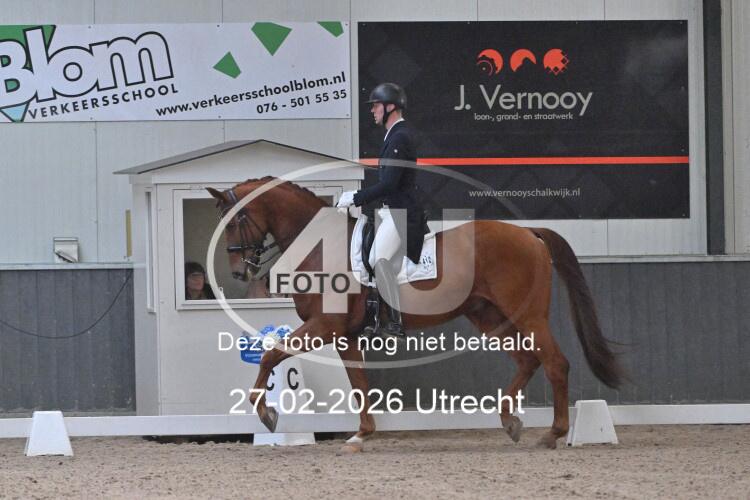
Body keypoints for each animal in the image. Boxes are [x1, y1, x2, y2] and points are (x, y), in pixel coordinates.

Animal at [207, 176, 624, 453]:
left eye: (236, 220)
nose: (240, 272)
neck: (322, 246)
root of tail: (529, 233)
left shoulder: (324, 325)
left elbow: (271, 354)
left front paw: (267, 414)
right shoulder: (345, 334)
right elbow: (358, 384)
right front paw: (361, 435)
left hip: (529, 316)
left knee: (555, 363)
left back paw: (553, 434)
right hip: (490, 316)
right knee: (528, 361)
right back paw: (510, 422)